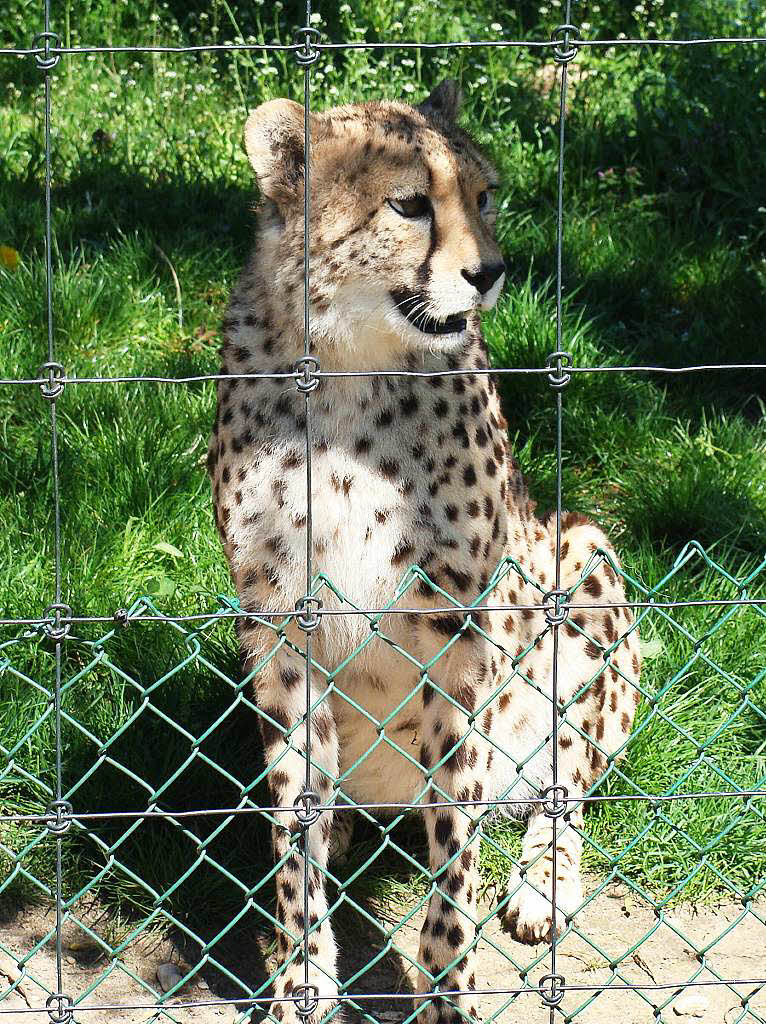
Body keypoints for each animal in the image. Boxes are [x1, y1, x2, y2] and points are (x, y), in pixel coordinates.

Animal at [207, 81, 639, 1024]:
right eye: (409, 205)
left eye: (485, 196)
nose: (491, 271)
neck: (344, 367)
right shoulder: (280, 632)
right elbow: (293, 826)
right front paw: (304, 974)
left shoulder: (459, 637)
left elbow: (455, 854)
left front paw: (449, 990)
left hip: (583, 558)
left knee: (564, 790)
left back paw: (543, 887)